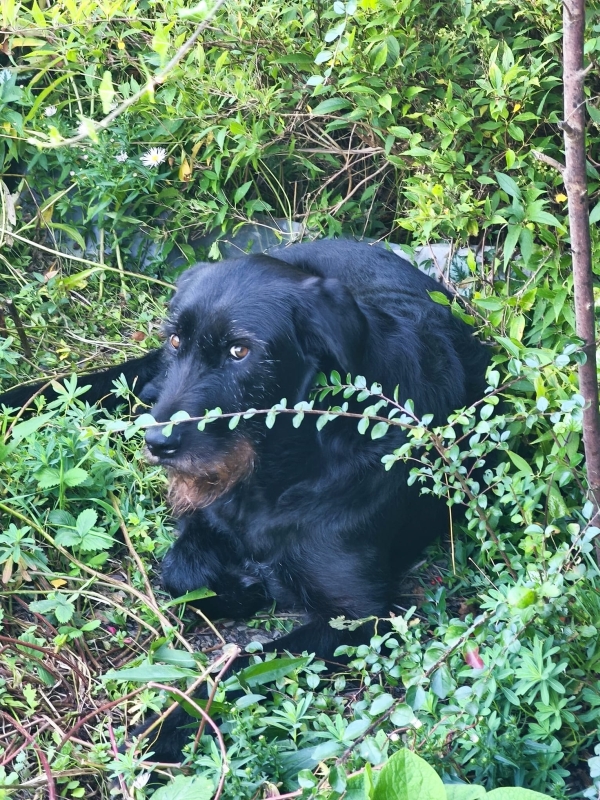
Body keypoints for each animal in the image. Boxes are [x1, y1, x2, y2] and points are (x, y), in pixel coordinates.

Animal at [0, 240, 490, 759]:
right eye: (178, 342)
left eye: (241, 351)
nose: (158, 442)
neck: (281, 468)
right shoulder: (209, 516)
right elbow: (179, 571)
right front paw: (242, 588)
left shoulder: (361, 617)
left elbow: (243, 669)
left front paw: (161, 732)